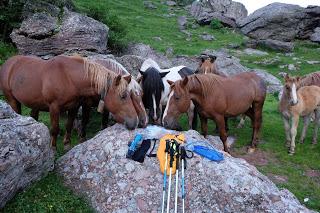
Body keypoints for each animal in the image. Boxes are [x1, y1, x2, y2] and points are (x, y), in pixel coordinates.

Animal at [0, 55, 138, 148]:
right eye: (123, 96)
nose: (135, 122)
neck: (68, 78)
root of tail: (9, 63)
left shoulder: (74, 106)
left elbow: (69, 125)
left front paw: (67, 143)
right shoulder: (54, 108)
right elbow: (55, 129)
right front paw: (53, 147)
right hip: (12, 101)